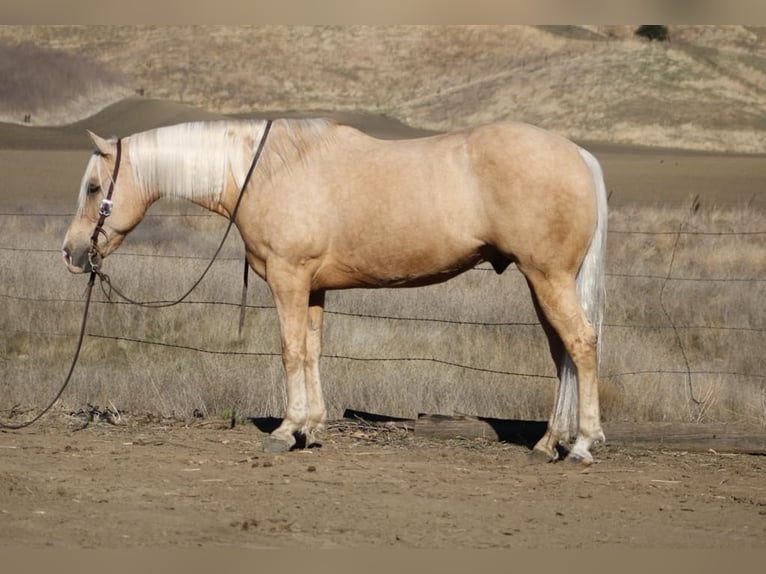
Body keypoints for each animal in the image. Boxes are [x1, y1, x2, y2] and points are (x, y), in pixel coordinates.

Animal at [63, 119, 608, 466]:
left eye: (93, 188)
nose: (71, 252)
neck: (266, 171)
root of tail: (579, 154)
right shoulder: (313, 288)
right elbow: (312, 351)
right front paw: (313, 428)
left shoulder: (288, 278)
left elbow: (289, 350)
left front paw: (286, 431)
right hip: (542, 281)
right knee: (561, 352)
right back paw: (549, 443)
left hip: (548, 276)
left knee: (580, 344)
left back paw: (582, 444)